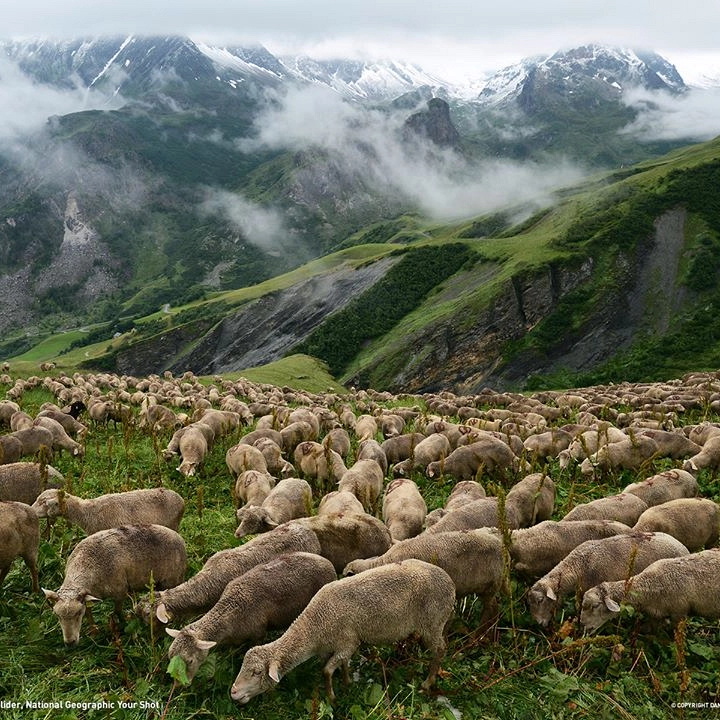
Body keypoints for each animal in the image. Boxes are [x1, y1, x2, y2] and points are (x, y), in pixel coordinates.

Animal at [44, 525, 187, 645]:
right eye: (57, 615)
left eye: (78, 613)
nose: (70, 643)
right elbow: (89, 612)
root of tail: (178, 536)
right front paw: (94, 631)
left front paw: (123, 626)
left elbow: (117, 612)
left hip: (172, 580)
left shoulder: (120, 592)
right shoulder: (90, 593)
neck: (86, 563)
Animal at [166, 552, 337, 685]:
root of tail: (327, 562)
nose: (179, 684)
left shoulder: (258, 633)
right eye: (170, 656)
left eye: (190, 661)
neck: (229, 611)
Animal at [230, 559, 455, 704]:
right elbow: (342, 665)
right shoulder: (337, 647)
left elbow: (326, 671)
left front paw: (332, 697)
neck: (314, 625)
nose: (233, 692)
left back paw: (427, 683)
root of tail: (450, 582)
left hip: (433, 622)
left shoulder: (348, 643)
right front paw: (347, 683)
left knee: (440, 650)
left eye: (257, 672)